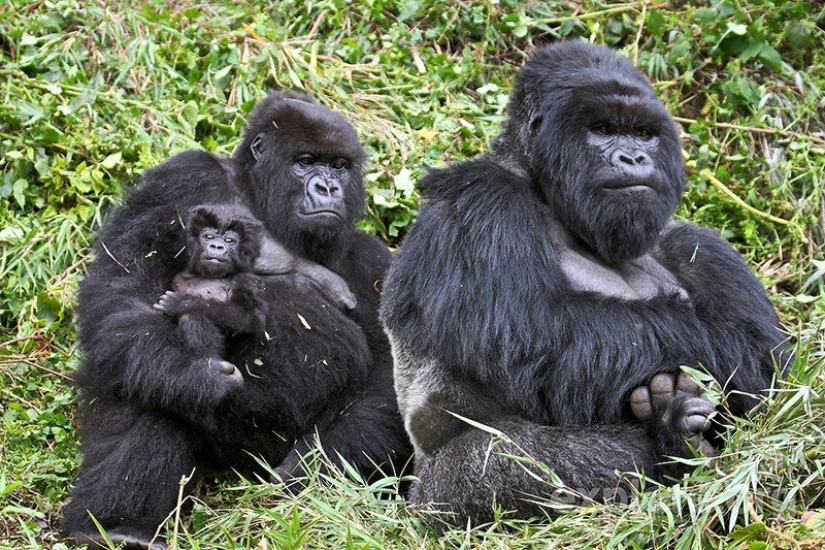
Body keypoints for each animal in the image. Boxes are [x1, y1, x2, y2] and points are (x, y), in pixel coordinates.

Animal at [63, 92, 408, 548]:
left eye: (338, 166)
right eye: (305, 161)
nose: (328, 188)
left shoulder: (374, 262)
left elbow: (391, 372)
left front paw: (315, 467)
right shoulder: (183, 179)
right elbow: (127, 284)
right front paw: (189, 374)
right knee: (140, 366)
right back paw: (116, 525)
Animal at [380, 41, 792, 528]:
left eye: (643, 133)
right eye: (602, 129)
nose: (634, 158)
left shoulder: (700, 246)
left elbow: (775, 364)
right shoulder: (478, 199)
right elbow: (535, 331)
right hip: (432, 498)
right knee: (509, 464)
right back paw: (669, 439)